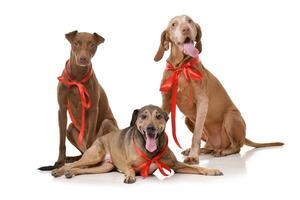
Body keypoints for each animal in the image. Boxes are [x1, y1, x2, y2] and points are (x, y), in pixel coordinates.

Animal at [39, 30, 118, 170]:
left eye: (92, 44)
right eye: (76, 43)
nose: (83, 59)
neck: (77, 78)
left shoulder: (93, 109)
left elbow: (91, 137)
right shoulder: (62, 109)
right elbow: (61, 141)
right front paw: (60, 161)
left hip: (107, 123)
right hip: (70, 128)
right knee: (80, 150)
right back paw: (72, 158)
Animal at [51, 105, 223, 184]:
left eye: (159, 116)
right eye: (143, 116)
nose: (151, 128)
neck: (151, 151)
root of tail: (100, 138)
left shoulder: (176, 165)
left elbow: (197, 168)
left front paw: (211, 170)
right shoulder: (127, 163)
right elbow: (130, 168)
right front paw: (129, 176)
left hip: (104, 167)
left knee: (80, 169)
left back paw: (70, 173)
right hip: (94, 155)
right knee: (73, 164)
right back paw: (59, 170)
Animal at [155, 15, 284, 165]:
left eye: (190, 21)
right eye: (174, 24)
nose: (186, 29)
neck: (181, 67)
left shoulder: (202, 102)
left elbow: (196, 134)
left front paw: (193, 157)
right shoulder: (166, 102)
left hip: (231, 117)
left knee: (237, 147)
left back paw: (223, 151)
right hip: (189, 120)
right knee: (210, 146)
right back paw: (205, 150)